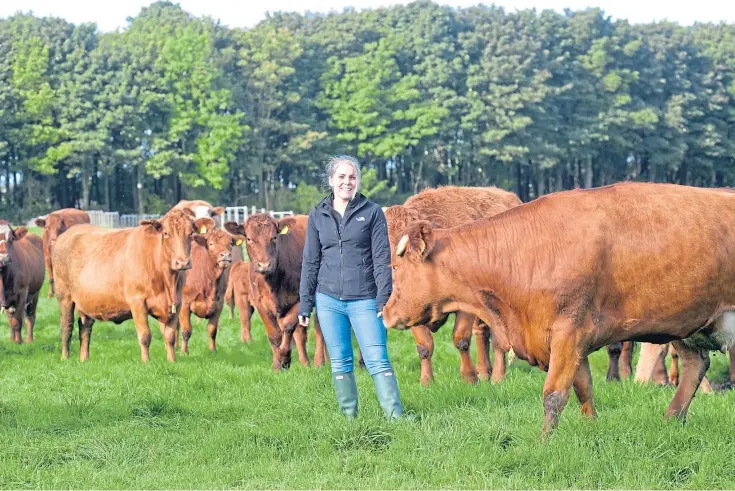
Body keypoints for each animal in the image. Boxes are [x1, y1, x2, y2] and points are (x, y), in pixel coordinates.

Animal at [52, 209, 214, 364]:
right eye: (166, 233)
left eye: (191, 233)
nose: (183, 262)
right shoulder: (137, 302)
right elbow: (145, 336)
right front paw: (146, 362)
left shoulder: (177, 303)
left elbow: (170, 336)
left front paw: (172, 360)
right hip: (64, 296)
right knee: (66, 326)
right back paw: (65, 358)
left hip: (87, 301)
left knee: (85, 327)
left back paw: (84, 359)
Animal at [175, 222, 244, 354]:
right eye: (211, 243)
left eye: (230, 243)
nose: (225, 255)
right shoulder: (185, 304)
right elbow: (186, 330)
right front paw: (184, 352)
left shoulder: (218, 304)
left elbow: (212, 330)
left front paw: (213, 350)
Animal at [227, 213, 324, 370]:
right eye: (249, 239)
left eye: (273, 237)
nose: (264, 265)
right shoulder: (260, 303)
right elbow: (275, 334)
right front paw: (277, 365)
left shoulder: (300, 299)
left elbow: (287, 326)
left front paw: (284, 357)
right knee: (301, 333)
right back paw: (305, 363)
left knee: (318, 328)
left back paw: (319, 362)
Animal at [386, 186, 524, 386]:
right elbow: (424, 345)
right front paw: (426, 381)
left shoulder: (464, 307)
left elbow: (461, 339)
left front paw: (469, 378)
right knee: (482, 332)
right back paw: (485, 373)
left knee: (499, 340)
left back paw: (498, 378)